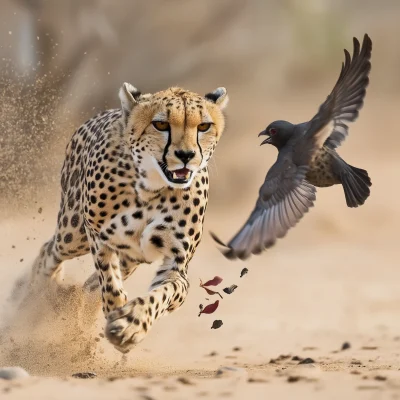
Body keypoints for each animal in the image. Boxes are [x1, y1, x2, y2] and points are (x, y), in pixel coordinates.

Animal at [28, 83, 228, 352]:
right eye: (161, 124)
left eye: (204, 126)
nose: (186, 155)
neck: (152, 187)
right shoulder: (98, 234)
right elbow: (108, 279)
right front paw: (116, 310)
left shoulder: (175, 265)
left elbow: (163, 293)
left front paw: (131, 324)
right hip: (72, 233)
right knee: (49, 253)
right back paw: (31, 301)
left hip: (131, 257)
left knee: (87, 285)